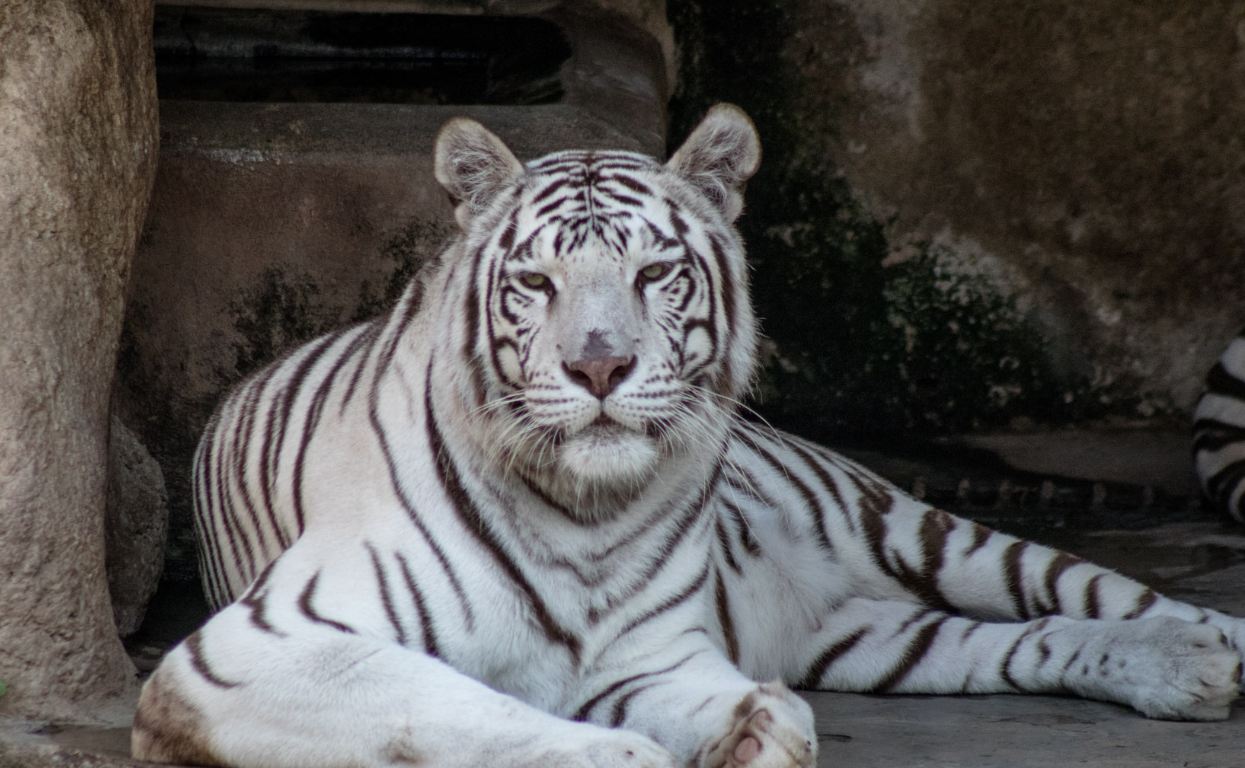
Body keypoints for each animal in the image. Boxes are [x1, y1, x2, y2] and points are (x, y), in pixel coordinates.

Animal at [133, 106, 1245, 766]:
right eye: (535, 282)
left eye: (653, 274)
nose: (598, 368)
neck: (581, 513)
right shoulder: (261, 649)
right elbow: (463, 710)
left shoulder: (659, 659)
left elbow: (769, 716)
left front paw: (756, 734)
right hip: (869, 636)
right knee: (1020, 640)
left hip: (913, 533)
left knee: (1092, 593)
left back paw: (1205, 649)